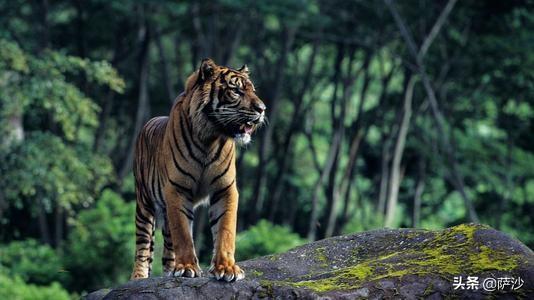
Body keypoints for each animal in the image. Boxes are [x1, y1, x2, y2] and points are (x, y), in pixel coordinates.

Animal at [131, 58, 266, 282]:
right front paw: (187, 267)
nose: (263, 108)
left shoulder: (225, 189)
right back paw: (139, 277)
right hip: (144, 203)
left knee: (168, 247)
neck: (209, 138)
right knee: (143, 244)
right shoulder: (177, 189)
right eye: (236, 91)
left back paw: (169, 271)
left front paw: (226, 268)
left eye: (253, 90)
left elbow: (225, 229)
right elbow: (183, 233)